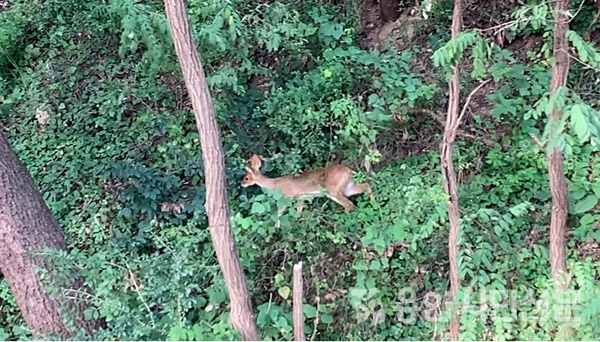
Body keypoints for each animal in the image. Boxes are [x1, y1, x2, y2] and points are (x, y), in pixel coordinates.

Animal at [240, 154, 376, 226]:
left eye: (246, 177)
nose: (241, 184)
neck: (274, 184)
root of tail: (349, 171)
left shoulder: (287, 197)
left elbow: (279, 212)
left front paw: (277, 226)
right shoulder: (301, 198)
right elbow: (298, 212)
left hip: (332, 191)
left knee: (349, 203)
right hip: (348, 186)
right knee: (366, 185)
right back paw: (373, 204)